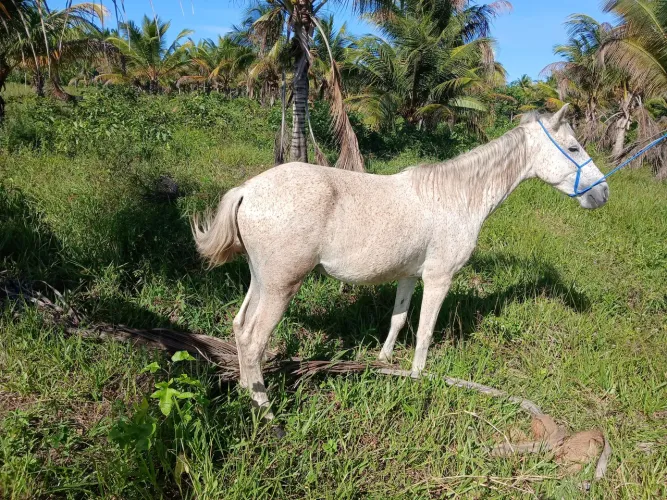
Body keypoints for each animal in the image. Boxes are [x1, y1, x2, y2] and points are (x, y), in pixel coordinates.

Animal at [192, 105, 609, 416]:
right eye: (573, 148)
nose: (602, 192)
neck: (456, 196)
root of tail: (248, 190)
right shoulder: (439, 278)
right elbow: (425, 331)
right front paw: (418, 378)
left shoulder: (409, 276)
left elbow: (398, 319)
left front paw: (385, 361)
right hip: (281, 286)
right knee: (254, 338)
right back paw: (264, 408)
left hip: (260, 280)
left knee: (239, 326)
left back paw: (246, 388)